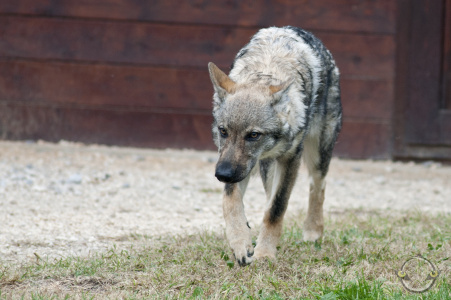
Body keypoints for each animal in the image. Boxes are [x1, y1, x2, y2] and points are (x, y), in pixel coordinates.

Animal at [208, 25, 342, 264]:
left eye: (253, 135)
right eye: (223, 131)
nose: (222, 174)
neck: (265, 69)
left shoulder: (290, 159)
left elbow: (277, 208)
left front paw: (264, 254)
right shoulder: (231, 163)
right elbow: (230, 201)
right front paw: (241, 242)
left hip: (318, 155)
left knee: (317, 186)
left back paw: (313, 232)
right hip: (265, 167)